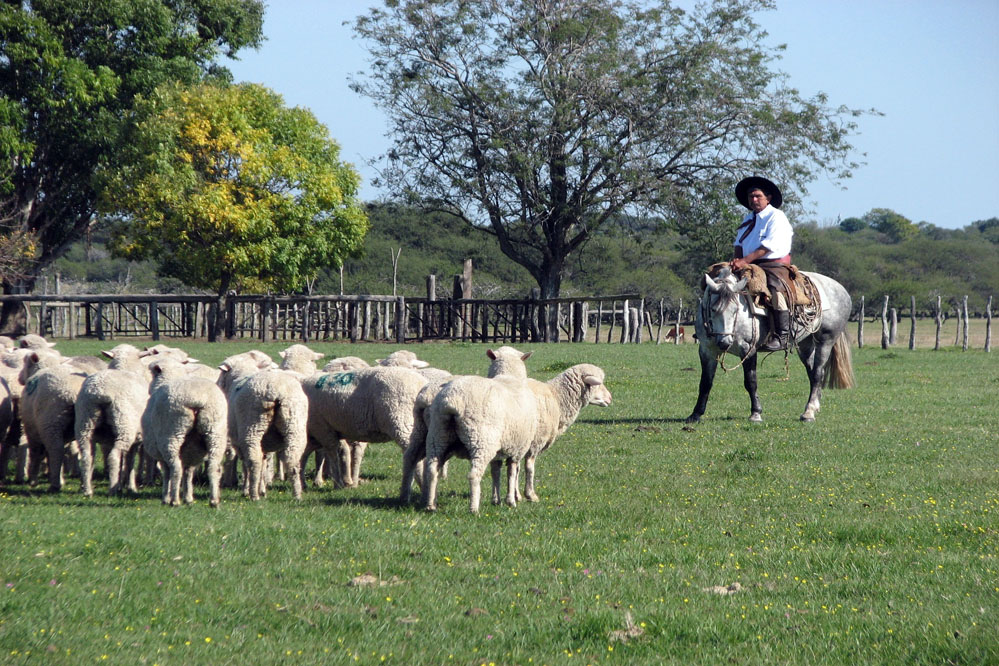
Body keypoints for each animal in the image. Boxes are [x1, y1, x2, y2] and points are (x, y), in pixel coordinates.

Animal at [74, 344, 150, 497]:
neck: (125, 368)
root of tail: (100, 393)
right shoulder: (136, 438)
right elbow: (129, 461)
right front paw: (130, 486)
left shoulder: (109, 439)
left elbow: (123, 462)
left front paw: (121, 483)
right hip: (124, 427)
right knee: (114, 457)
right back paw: (112, 490)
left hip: (84, 424)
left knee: (86, 457)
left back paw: (87, 490)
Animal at [141, 359, 228, 507]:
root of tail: (197, 399)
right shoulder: (191, 453)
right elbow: (188, 473)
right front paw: (188, 498)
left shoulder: (161, 453)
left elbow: (167, 473)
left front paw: (166, 497)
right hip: (215, 432)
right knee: (214, 467)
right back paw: (214, 500)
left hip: (171, 435)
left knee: (176, 469)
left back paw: (174, 501)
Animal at [217, 354, 309, 500]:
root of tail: (276, 390)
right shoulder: (266, 443)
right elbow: (265, 463)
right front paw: (263, 489)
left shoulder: (239, 442)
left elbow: (247, 465)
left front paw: (247, 489)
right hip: (295, 425)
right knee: (292, 460)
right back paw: (297, 495)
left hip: (252, 427)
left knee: (254, 462)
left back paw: (253, 495)